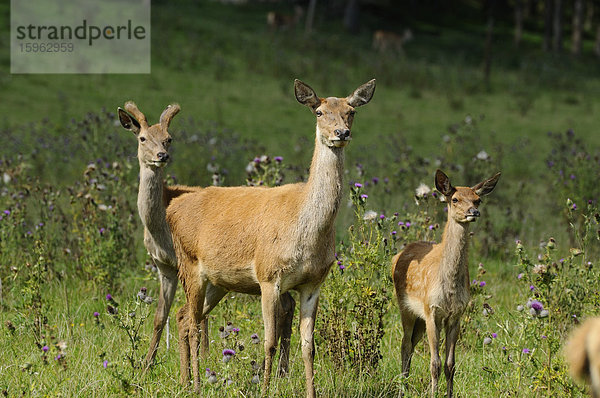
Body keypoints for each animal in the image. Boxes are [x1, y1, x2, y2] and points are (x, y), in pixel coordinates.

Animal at [116, 102, 296, 382]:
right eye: (142, 137)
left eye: (169, 138)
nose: (161, 155)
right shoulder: (164, 266)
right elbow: (160, 317)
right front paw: (146, 367)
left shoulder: (187, 264)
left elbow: (197, 317)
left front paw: (203, 359)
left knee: (287, 304)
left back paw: (281, 372)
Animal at [169, 78, 376, 398]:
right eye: (319, 111)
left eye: (351, 111)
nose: (341, 133)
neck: (306, 234)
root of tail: (172, 207)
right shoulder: (268, 276)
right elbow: (269, 342)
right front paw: (266, 389)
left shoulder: (313, 283)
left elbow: (309, 347)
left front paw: (311, 392)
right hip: (189, 265)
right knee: (192, 324)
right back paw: (197, 385)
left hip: (218, 281)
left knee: (182, 317)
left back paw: (184, 380)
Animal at [392, 170, 500, 398]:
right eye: (455, 199)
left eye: (478, 199)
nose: (473, 211)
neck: (449, 289)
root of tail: (397, 255)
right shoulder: (432, 310)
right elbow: (435, 364)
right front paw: (433, 393)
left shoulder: (456, 315)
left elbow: (451, 365)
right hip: (406, 307)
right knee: (404, 344)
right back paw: (402, 389)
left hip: (420, 319)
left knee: (411, 344)